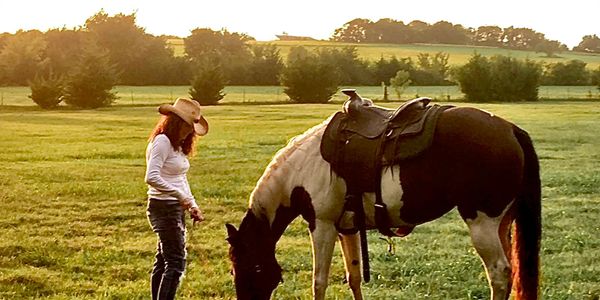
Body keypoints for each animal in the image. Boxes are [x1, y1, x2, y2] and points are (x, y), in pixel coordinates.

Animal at [226, 92, 544, 300]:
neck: (300, 171)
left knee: (499, 274)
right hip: (502, 223)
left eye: (247, 268)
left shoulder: (322, 225)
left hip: (482, 224)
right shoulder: (346, 228)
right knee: (512, 272)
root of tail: (511, 130)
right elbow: (354, 277)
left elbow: (319, 281)